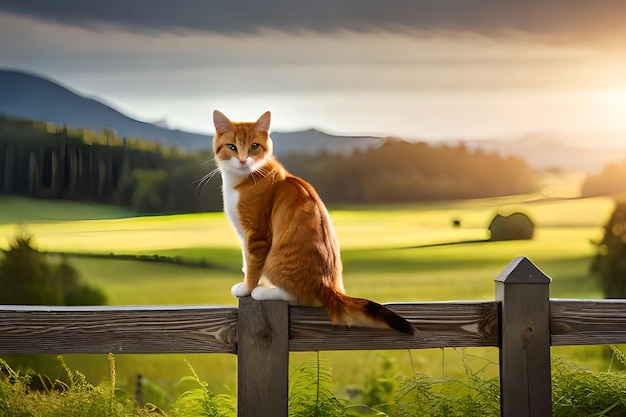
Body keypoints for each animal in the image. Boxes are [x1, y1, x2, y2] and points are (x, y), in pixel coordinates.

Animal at [212, 109, 412, 334]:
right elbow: (251, 265)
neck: (245, 178)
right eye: (232, 147)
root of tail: (329, 287)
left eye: (254, 146)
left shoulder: (256, 234)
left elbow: (252, 265)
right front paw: (256, 285)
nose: (243, 160)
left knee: (299, 297)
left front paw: (248, 289)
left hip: (275, 261)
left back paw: (265, 293)